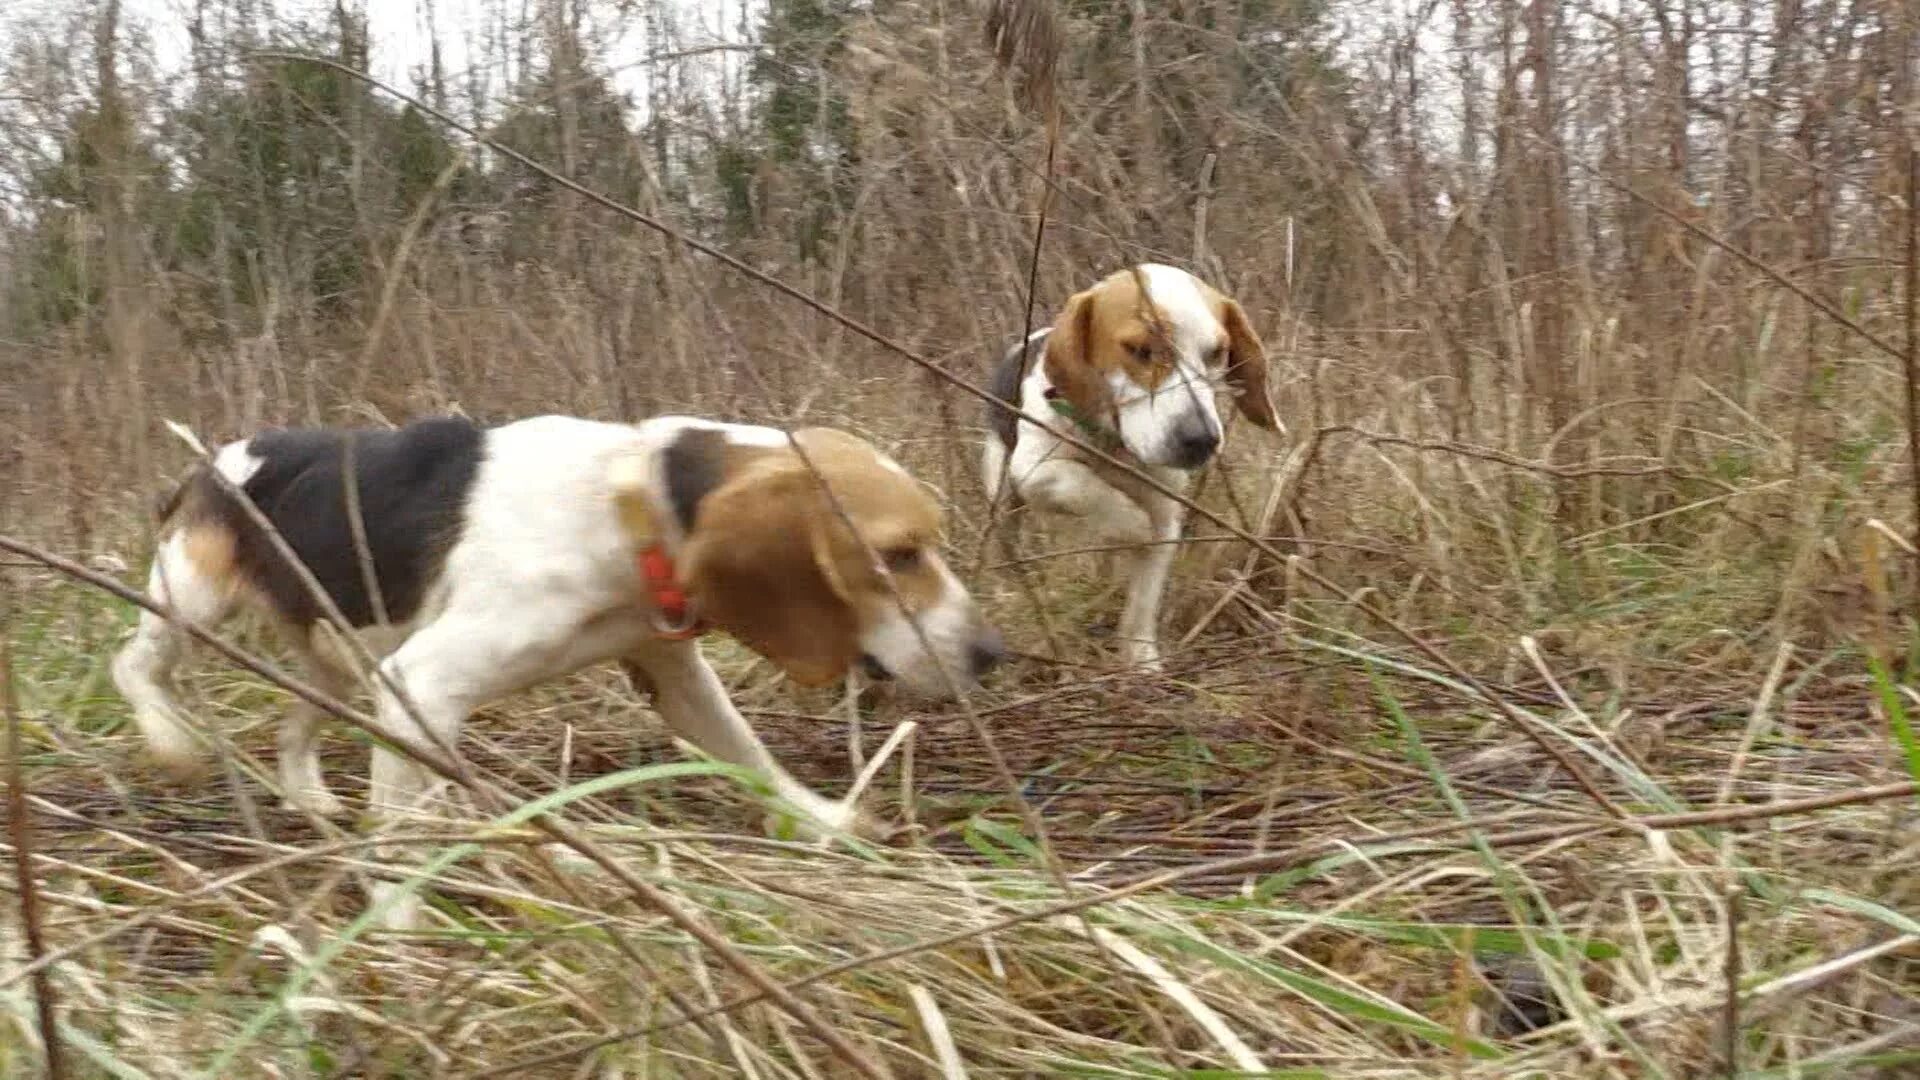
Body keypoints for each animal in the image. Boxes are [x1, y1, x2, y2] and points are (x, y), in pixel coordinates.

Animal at [114, 417, 1006, 922]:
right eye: (897, 555)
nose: (992, 654)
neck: (629, 497)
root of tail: (206, 463)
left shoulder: (673, 670)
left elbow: (749, 757)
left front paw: (823, 822)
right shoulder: (422, 681)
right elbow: (402, 837)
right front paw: (398, 928)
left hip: (343, 660)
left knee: (292, 729)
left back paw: (310, 798)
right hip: (193, 603)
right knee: (132, 665)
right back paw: (169, 740)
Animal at [990, 263, 1274, 664]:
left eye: (1217, 352)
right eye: (1140, 349)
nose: (1201, 440)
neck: (1116, 449)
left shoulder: (1166, 513)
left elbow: (1144, 600)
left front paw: (1141, 659)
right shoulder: (1031, 470)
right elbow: (1080, 484)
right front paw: (1131, 522)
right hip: (1002, 495)